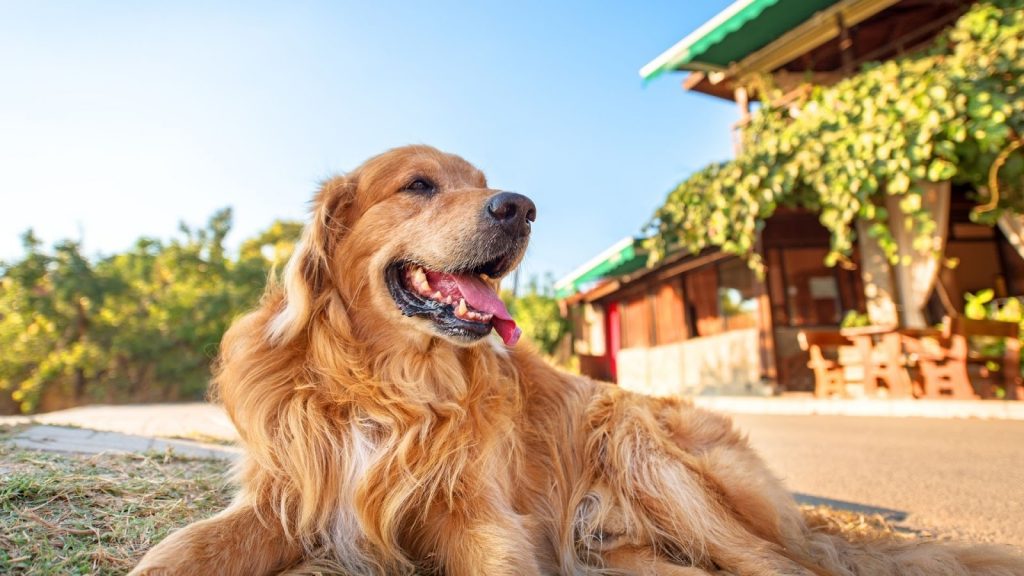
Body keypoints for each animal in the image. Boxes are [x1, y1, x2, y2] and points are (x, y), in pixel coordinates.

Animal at [132, 145, 1019, 569]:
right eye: (418, 184)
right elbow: (177, 552)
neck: (388, 384)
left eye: (484, 179)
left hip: (640, 444)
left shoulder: (480, 521)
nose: (520, 206)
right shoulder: (288, 499)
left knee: (786, 568)